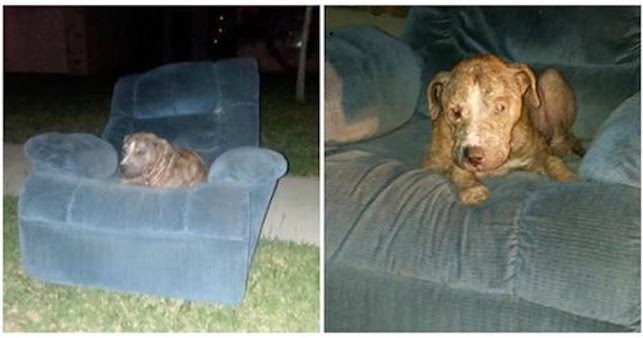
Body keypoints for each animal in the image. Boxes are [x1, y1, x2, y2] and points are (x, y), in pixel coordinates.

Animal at [422, 54, 584, 205]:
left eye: (501, 107)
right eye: (455, 112)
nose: (474, 157)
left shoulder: (539, 154)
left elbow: (553, 162)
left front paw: (570, 179)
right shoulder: (434, 162)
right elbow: (457, 170)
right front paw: (472, 189)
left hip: (551, 79)